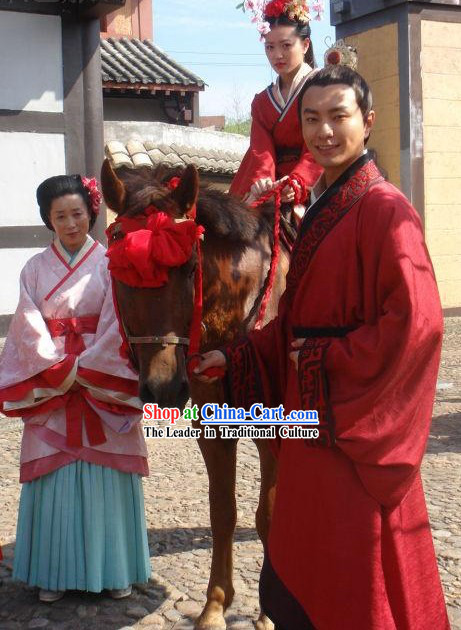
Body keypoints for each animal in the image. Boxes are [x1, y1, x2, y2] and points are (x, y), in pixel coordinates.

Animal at [100, 160, 290, 628]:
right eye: (118, 271)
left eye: (189, 267)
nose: (164, 386)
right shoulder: (213, 423)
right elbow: (223, 512)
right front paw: (216, 604)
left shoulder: (276, 426)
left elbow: (268, 515)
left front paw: (268, 611)